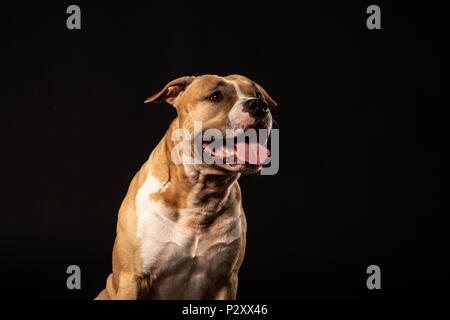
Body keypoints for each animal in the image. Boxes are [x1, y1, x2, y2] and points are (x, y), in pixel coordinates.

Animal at [96, 74, 276, 300]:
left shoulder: (225, 281)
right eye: (215, 96)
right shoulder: (133, 278)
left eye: (258, 95)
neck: (201, 195)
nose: (259, 106)